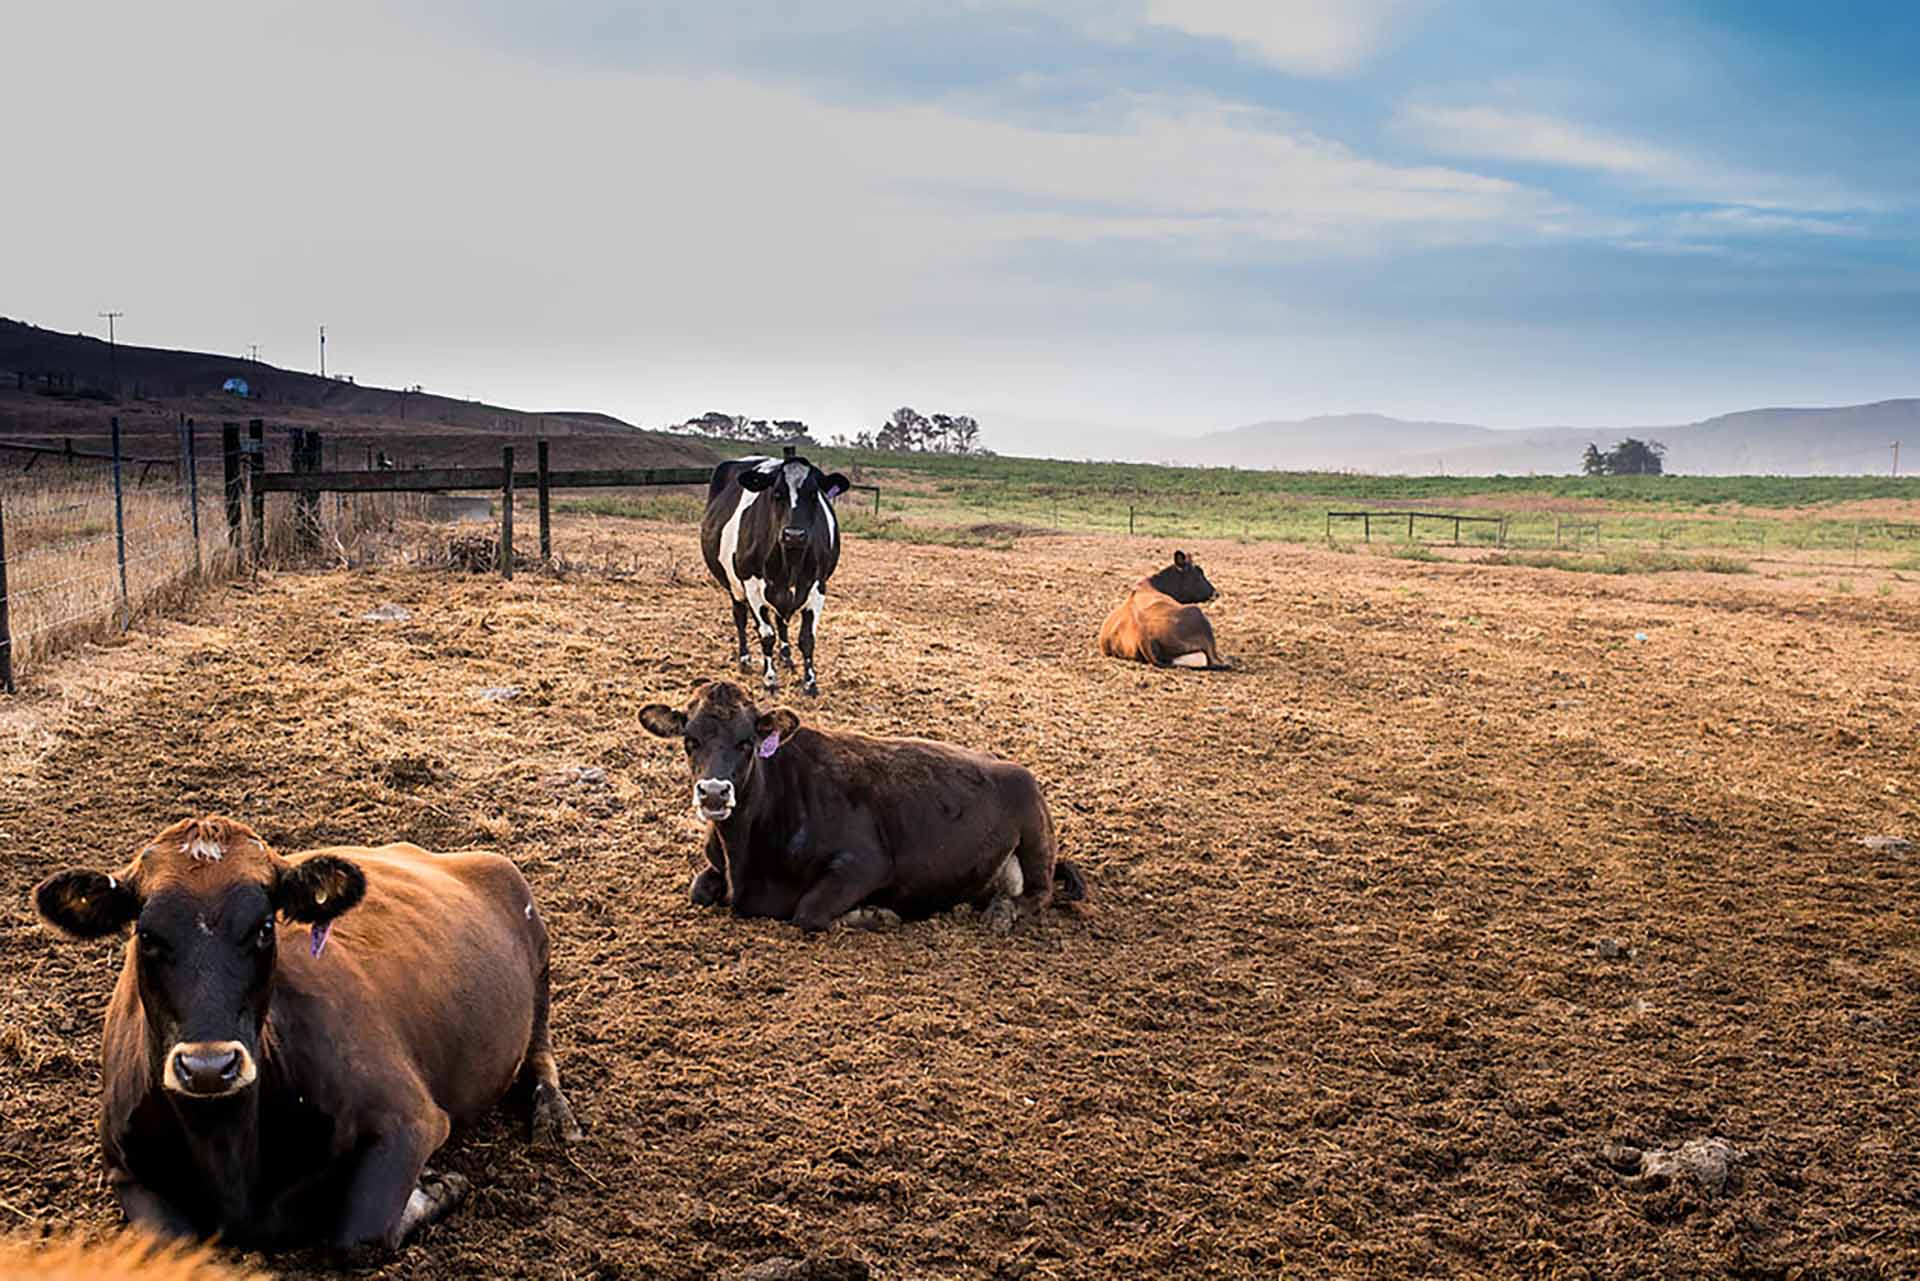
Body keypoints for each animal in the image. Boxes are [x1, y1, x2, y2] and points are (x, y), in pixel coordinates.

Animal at [31, 818, 576, 1259]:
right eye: (146, 935)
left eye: (264, 928)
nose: (209, 1068)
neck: (227, 1144)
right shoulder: (122, 1166)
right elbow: (173, 1245)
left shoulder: (411, 1119)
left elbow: (360, 1236)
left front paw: (439, 1184)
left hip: (539, 955)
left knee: (540, 1048)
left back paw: (553, 1114)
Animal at [645, 679, 1090, 933]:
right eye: (690, 740)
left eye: (746, 743)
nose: (714, 793)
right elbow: (699, 889)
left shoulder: (866, 864)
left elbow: (808, 911)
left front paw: (874, 915)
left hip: (1034, 836)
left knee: (1040, 894)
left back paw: (1000, 913)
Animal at [702, 451, 852, 691]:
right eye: (777, 493)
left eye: (814, 495)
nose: (794, 535)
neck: (789, 560)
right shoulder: (751, 584)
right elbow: (766, 634)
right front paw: (770, 678)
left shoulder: (818, 585)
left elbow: (807, 638)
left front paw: (810, 682)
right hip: (734, 585)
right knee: (740, 616)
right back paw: (745, 660)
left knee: (781, 620)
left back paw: (786, 657)